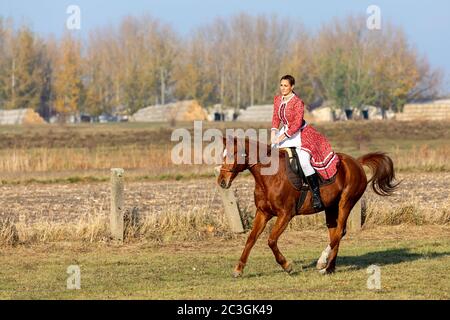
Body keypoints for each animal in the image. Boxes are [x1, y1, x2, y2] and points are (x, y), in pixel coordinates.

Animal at [216, 136, 400, 276]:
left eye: (232, 154)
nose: (222, 182)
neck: (269, 177)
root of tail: (356, 161)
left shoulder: (285, 215)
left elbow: (271, 240)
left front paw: (287, 266)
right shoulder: (263, 213)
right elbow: (251, 239)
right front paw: (238, 269)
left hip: (345, 203)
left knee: (340, 231)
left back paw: (322, 262)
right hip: (331, 208)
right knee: (335, 232)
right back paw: (329, 268)